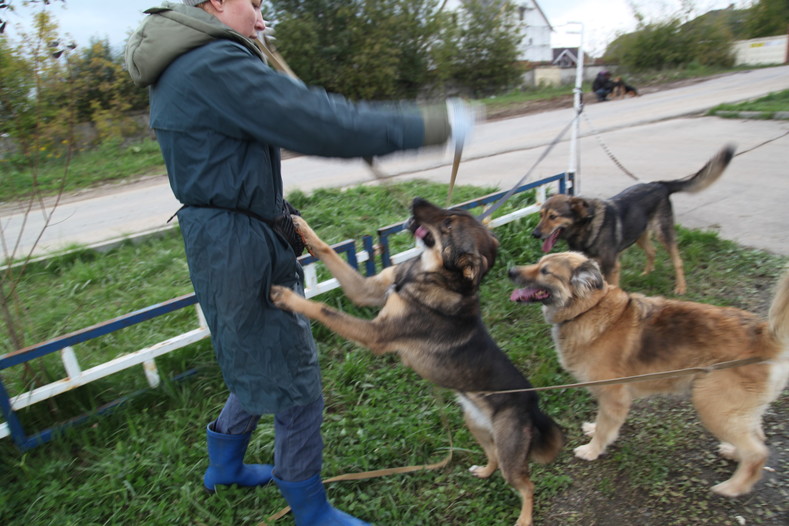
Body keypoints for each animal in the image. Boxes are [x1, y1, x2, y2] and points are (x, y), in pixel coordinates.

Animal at [274, 199, 564, 526]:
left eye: (448, 224)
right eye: (453, 214)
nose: (415, 201)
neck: (426, 273)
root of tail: (533, 404)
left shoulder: (376, 334)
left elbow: (324, 309)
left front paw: (287, 298)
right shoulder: (368, 290)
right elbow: (327, 251)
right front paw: (301, 227)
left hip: (510, 450)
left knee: (527, 485)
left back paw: (524, 518)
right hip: (477, 426)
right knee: (491, 456)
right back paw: (484, 471)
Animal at [508, 254, 788, 502]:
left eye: (545, 271)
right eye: (538, 262)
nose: (510, 270)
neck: (588, 308)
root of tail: (765, 336)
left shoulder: (615, 397)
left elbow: (606, 428)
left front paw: (592, 450)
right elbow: (601, 421)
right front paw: (593, 429)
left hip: (712, 406)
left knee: (757, 452)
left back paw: (733, 487)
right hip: (737, 409)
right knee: (757, 436)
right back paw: (733, 452)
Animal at [528, 144, 736, 294]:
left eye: (553, 216)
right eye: (540, 215)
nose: (535, 234)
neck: (585, 228)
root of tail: (660, 185)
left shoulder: (611, 266)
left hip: (663, 232)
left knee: (677, 260)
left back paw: (681, 287)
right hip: (639, 233)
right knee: (652, 251)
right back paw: (646, 273)